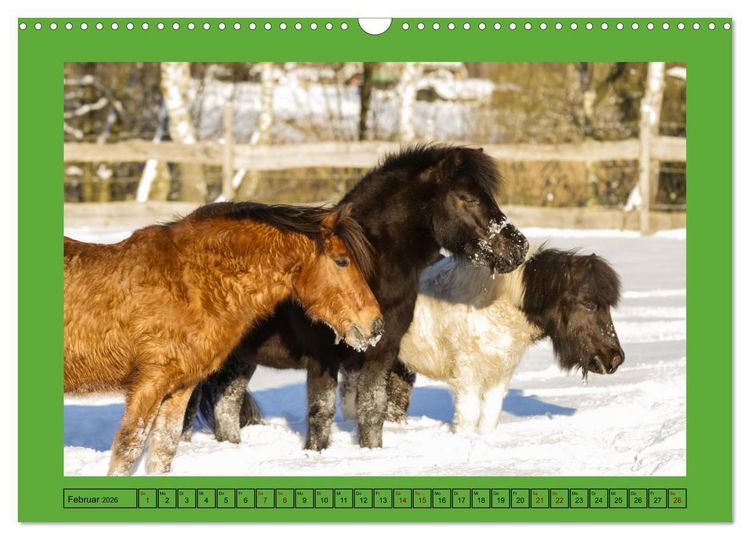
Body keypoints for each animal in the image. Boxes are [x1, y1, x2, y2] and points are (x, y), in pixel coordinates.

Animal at [64, 202, 383, 475]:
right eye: (342, 261)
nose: (376, 325)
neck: (189, 284)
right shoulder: (148, 384)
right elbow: (128, 450)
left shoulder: (179, 387)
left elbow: (164, 450)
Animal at [183, 143, 529, 450]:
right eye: (467, 197)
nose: (519, 247)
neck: (370, 267)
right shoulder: (322, 357)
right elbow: (322, 414)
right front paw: (316, 454)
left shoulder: (382, 352)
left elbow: (373, 409)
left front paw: (370, 452)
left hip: (239, 359)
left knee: (226, 407)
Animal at [340, 247, 624, 433]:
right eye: (589, 304)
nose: (615, 359)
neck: (497, 307)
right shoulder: (468, 378)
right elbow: (468, 418)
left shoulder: (500, 376)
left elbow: (489, 417)